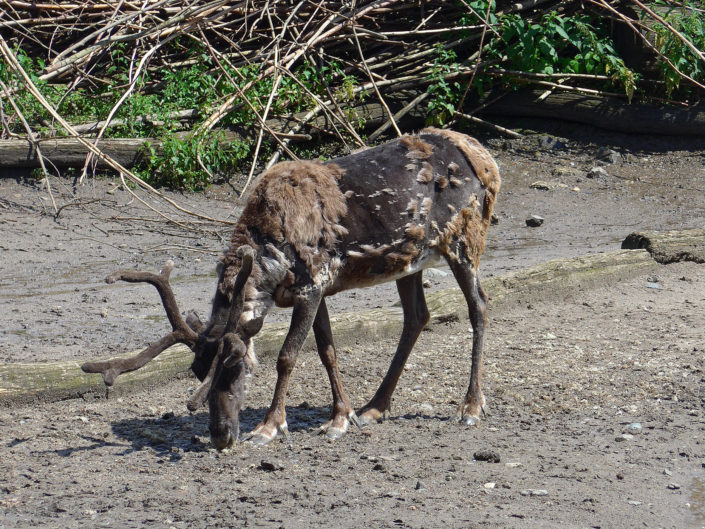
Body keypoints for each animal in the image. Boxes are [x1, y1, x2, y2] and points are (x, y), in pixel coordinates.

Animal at [82, 128, 500, 449]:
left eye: (235, 366)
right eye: (199, 371)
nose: (220, 436)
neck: (271, 258)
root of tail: (487, 161)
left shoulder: (312, 286)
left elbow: (287, 356)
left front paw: (269, 426)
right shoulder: (318, 290)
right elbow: (327, 351)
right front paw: (342, 416)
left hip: (465, 240)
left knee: (479, 305)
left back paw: (471, 407)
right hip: (408, 258)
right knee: (417, 316)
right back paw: (375, 407)